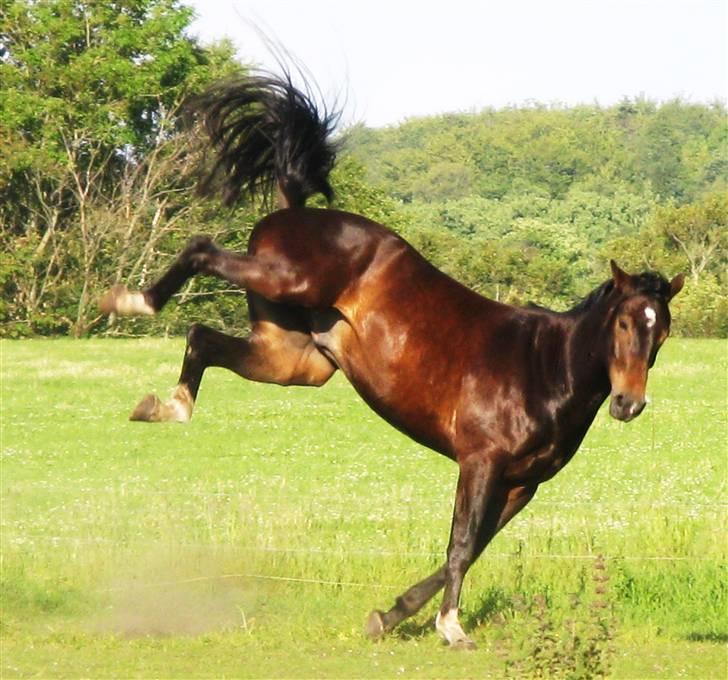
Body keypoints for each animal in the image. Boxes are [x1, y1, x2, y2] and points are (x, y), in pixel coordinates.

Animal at [99, 69, 684, 648]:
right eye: (625, 324)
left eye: (662, 333)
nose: (629, 404)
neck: (544, 369)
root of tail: (298, 212)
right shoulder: (481, 462)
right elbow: (461, 544)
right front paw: (451, 627)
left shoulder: (522, 484)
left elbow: (470, 550)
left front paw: (390, 615)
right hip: (284, 281)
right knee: (200, 251)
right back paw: (133, 303)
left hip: (296, 361)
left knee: (202, 337)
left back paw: (166, 405)